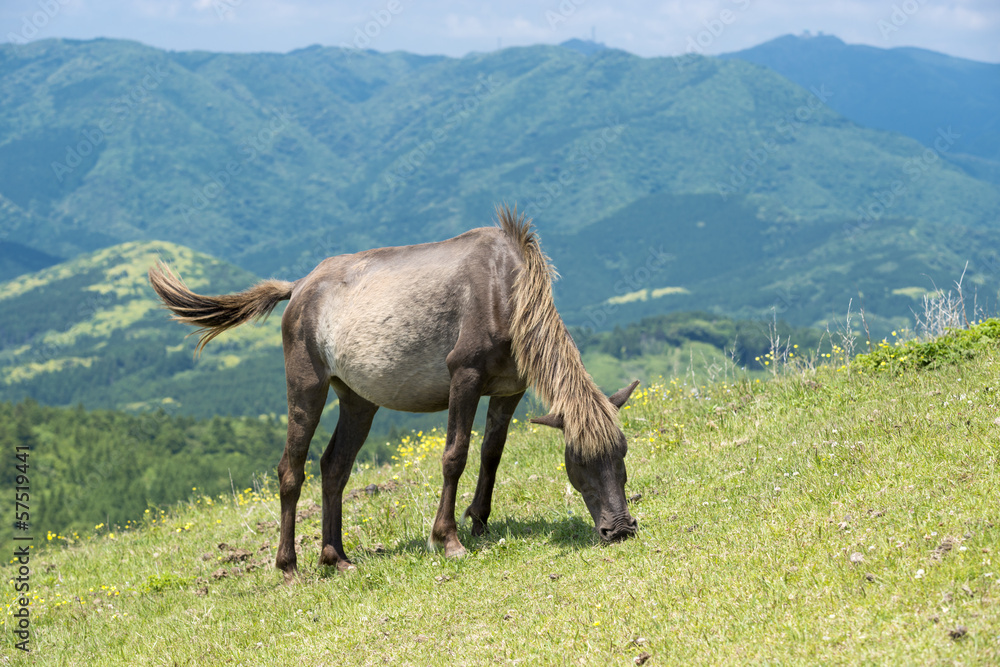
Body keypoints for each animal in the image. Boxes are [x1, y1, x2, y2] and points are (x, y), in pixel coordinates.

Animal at [148, 205, 639, 578]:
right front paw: (448, 539)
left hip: (358, 400)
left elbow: (492, 454)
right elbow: (456, 455)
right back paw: (288, 567)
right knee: (291, 469)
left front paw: (479, 522)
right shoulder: (464, 377)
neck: (506, 291)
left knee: (334, 467)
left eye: (622, 454)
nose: (620, 529)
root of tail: (300, 286)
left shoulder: (508, 391)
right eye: (579, 461)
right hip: (306, 388)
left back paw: (336, 557)